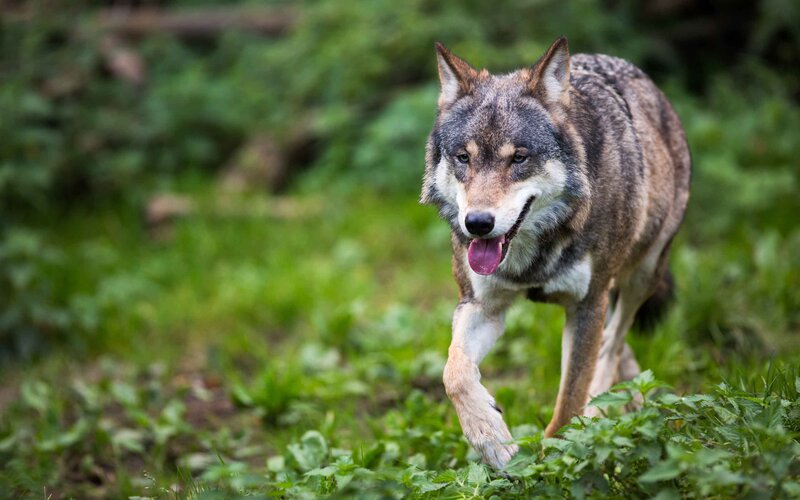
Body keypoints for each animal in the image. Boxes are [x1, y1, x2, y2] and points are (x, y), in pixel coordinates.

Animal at [421, 37, 691, 468]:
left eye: (519, 157)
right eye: (464, 157)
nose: (477, 223)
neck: (533, 256)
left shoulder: (587, 304)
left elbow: (569, 401)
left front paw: (559, 460)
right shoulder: (481, 306)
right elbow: (454, 373)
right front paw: (491, 439)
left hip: (640, 276)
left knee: (612, 344)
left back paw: (602, 412)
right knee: (617, 350)